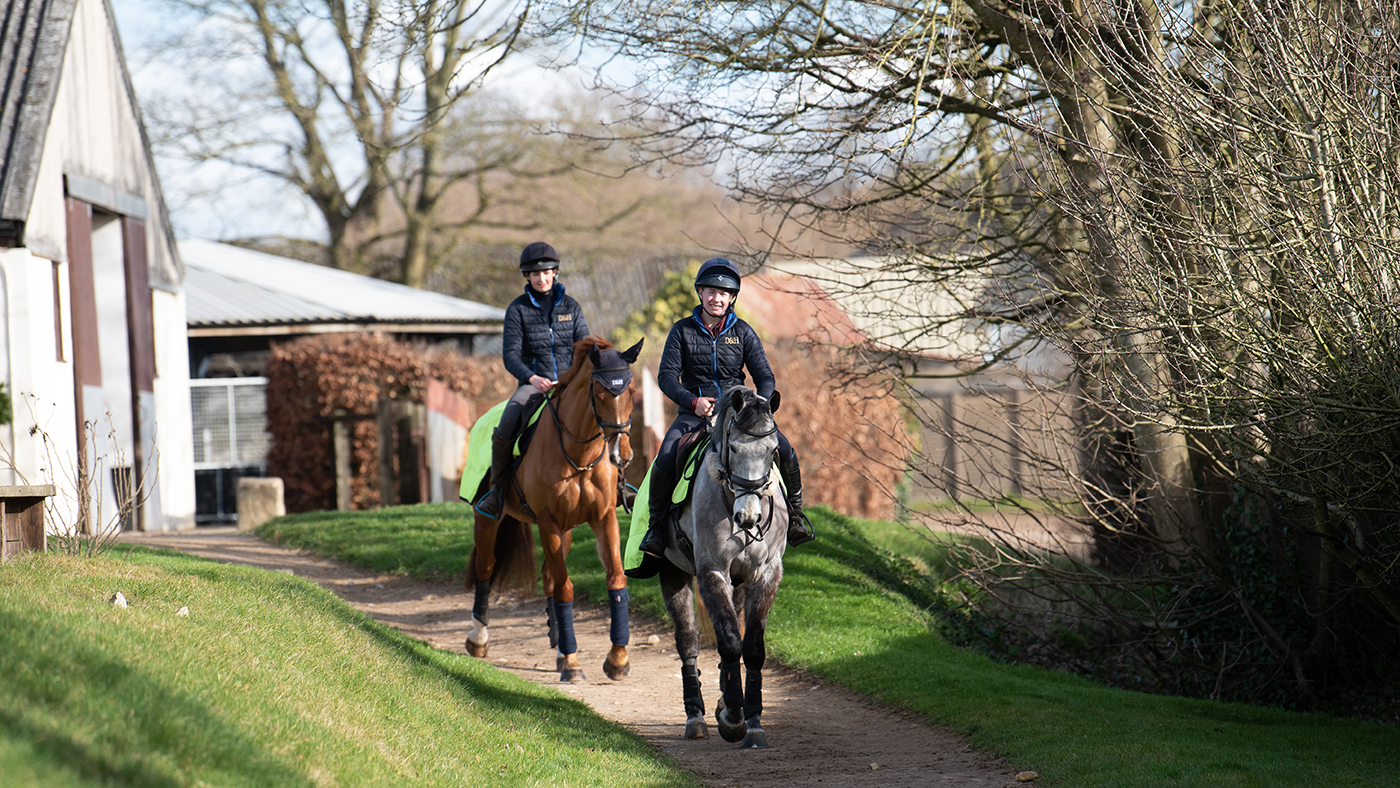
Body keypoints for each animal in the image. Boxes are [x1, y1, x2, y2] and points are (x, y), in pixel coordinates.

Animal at [465, 336, 643, 682]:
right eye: (599, 393)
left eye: (631, 391)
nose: (622, 454)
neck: (579, 456)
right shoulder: (548, 523)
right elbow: (565, 589)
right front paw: (573, 664)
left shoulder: (603, 518)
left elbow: (616, 578)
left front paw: (617, 659)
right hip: (488, 519)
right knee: (486, 567)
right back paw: (478, 639)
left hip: (567, 530)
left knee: (547, 576)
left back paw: (560, 648)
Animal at [653, 386, 787, 748]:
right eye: (734, 447)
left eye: (773, 451)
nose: (750, 517)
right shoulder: (712, 572)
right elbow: (728, 642)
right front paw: (734, 719)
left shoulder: (766, 575)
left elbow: (751, 647)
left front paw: (752, 723)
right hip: (674, 573)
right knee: (688, 641)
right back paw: (696, 717)